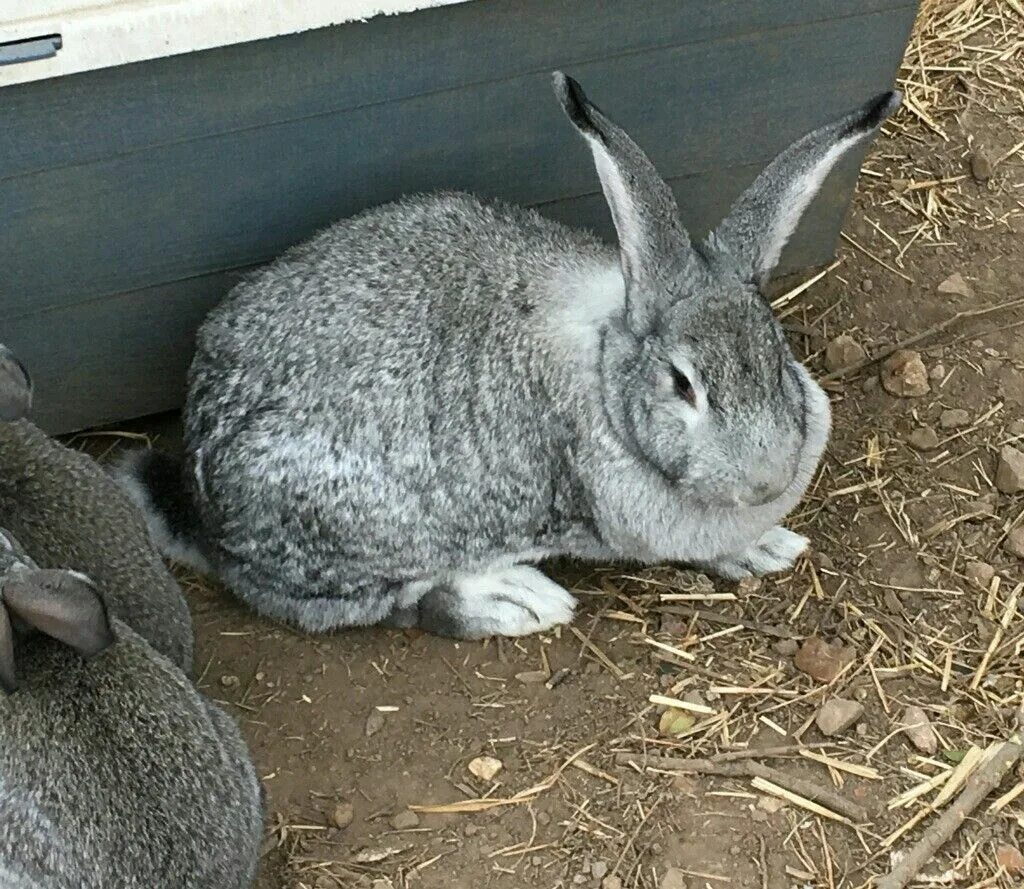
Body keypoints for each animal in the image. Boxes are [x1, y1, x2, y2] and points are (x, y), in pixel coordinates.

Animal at [117, 71, 897, 639]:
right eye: (683, 384)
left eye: (778, 356)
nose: (766, 480)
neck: (606, 373)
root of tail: (201, 496)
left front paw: (768, 546)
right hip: (353, 532)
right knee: (380, 603)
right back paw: (517, 602)